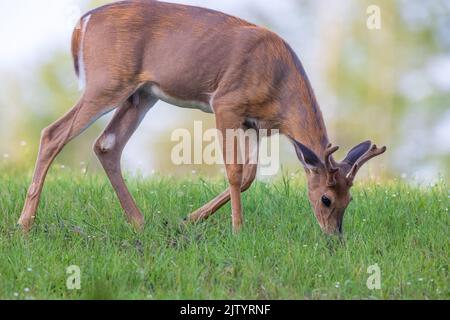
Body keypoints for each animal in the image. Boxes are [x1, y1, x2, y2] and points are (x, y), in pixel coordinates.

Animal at [16, 0, 384, 235]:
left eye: (350, 199)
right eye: (326, 198)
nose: (334, 237)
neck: (280, 88)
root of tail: (84, 22)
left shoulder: (254, 125)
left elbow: (249, 176)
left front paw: (188, 220)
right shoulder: (226, 102)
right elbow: (235, 173)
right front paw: (238, 230)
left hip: (141, 93)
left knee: (107, 144)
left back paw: (139, 221)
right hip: (107, 81)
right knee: (53, 133)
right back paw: (25, 223)